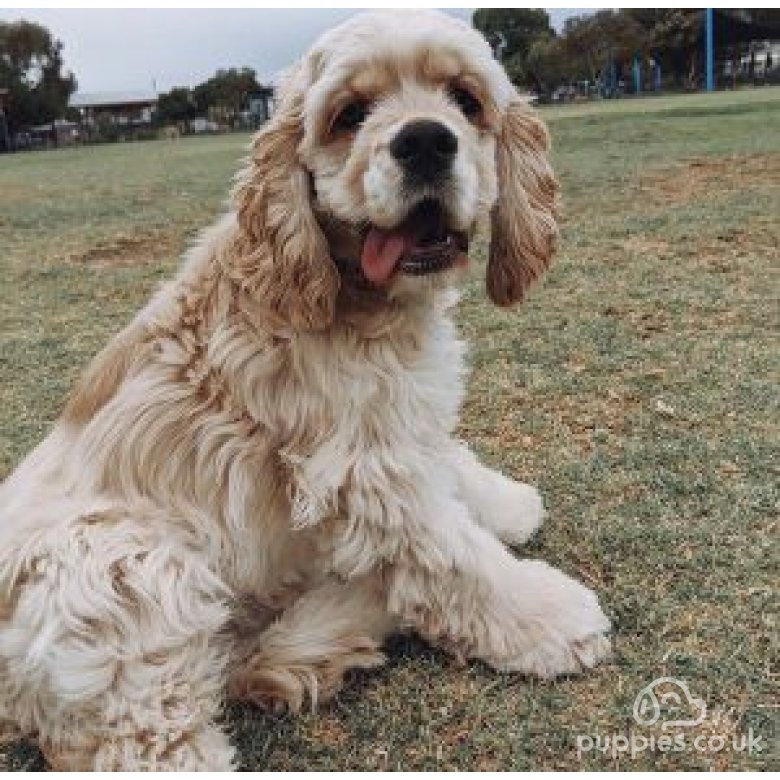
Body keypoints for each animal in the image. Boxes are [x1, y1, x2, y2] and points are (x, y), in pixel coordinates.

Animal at [0, 9, 608, 772]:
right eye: (349, 115)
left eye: (465, 101)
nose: (424, 141)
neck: (352, 296)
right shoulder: (362, 468)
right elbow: (455, 559)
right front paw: (550, 616)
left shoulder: (401, 421)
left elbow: (452, 468)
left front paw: (507, 503)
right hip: (123, 565)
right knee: (156, 742)